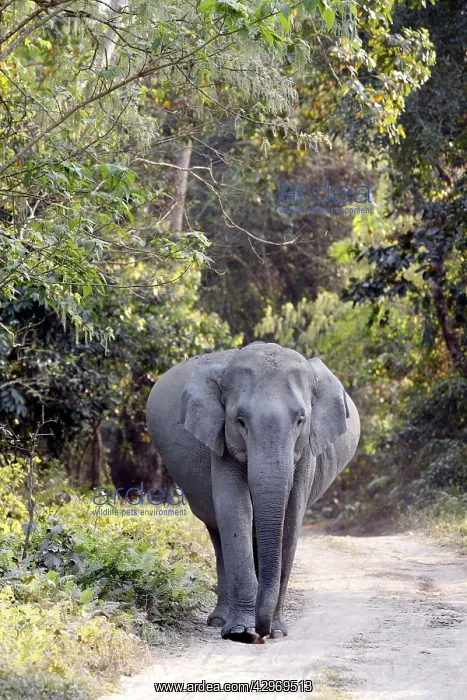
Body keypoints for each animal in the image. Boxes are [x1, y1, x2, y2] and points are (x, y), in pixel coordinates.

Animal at [146, 342, 360, 643]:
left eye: (300, 420)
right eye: (240, 421)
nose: (263, 632)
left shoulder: (307, 449)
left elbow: (292, 517)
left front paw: (278, 631)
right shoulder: (220, 440)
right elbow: (234, 511)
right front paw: (241, 632)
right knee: (218, 534)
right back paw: (219, 620)